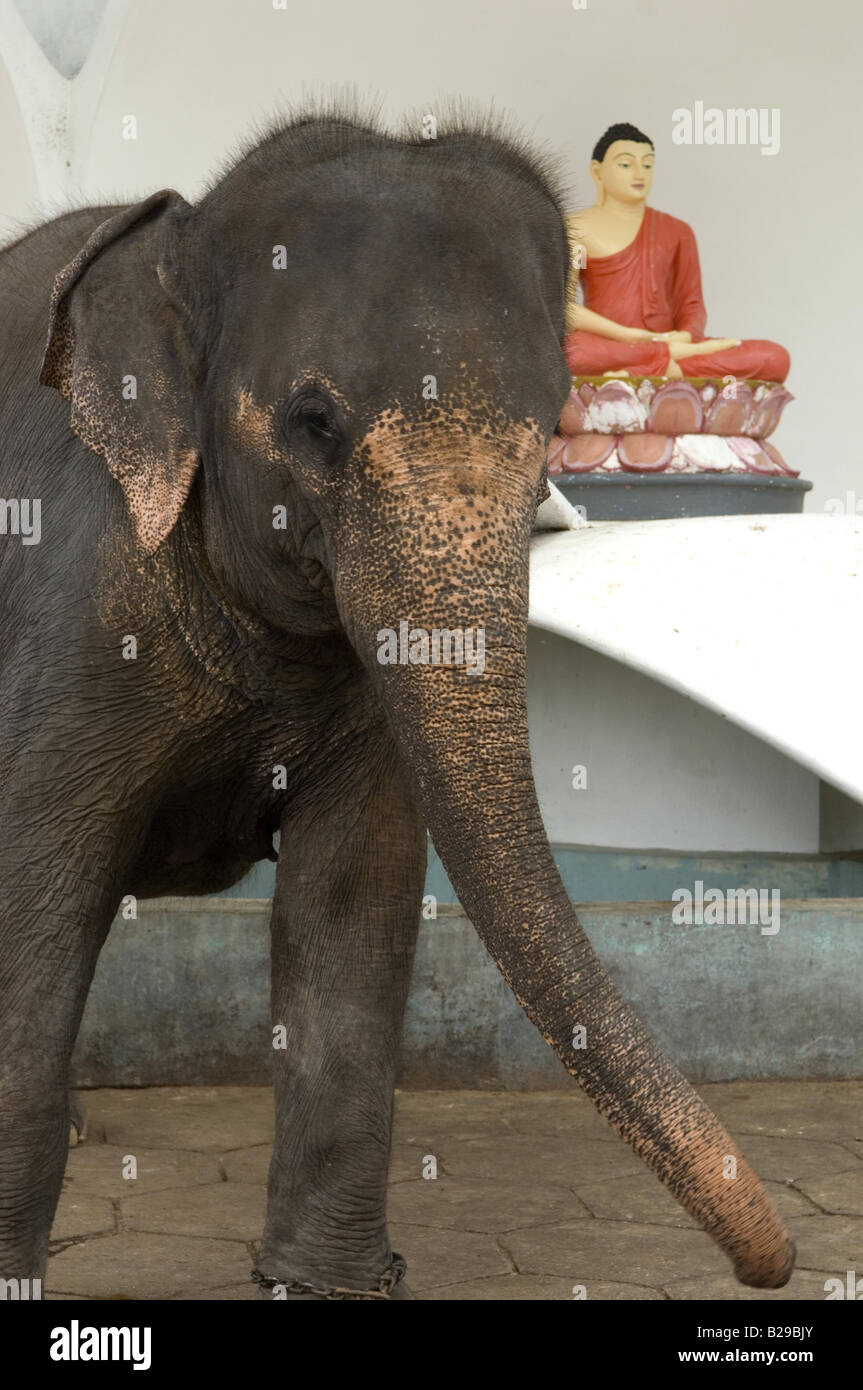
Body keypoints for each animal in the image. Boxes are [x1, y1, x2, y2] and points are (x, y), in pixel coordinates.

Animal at [0, 102, 794, 1295]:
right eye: (314, 420)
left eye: (551, 429)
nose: (776, 1262)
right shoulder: (72, 607)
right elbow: (35, 899)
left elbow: (354, 894)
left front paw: (325, 1283)